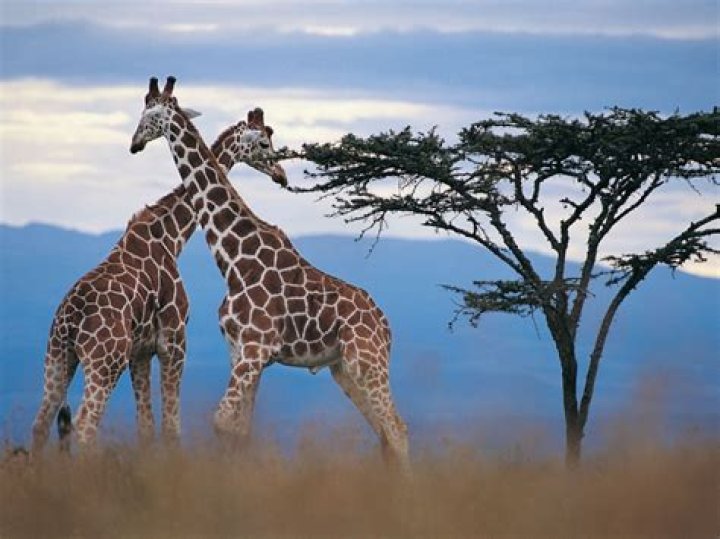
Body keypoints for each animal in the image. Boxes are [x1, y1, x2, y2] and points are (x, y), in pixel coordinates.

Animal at [30, 106, 286, 454]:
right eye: (264, 142)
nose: (281, 174)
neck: (171, 237)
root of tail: (71, 318)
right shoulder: (174, 340)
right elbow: (171, 426)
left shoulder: (139, 352)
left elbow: (147, 427)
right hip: (104, 361)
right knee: (84, 424)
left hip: (58, 355)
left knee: (41, 423)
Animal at [130, 77, 410, 471]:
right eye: (264, 141)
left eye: (148, 115)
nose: (134, 144)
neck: (234, 262)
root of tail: (385, 326)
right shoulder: (242, 352)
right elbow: (240, 429)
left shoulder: (255, 349)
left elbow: (222, 422)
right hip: (344, 369)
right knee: (385, 433)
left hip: (367, 361)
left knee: (398, 430)